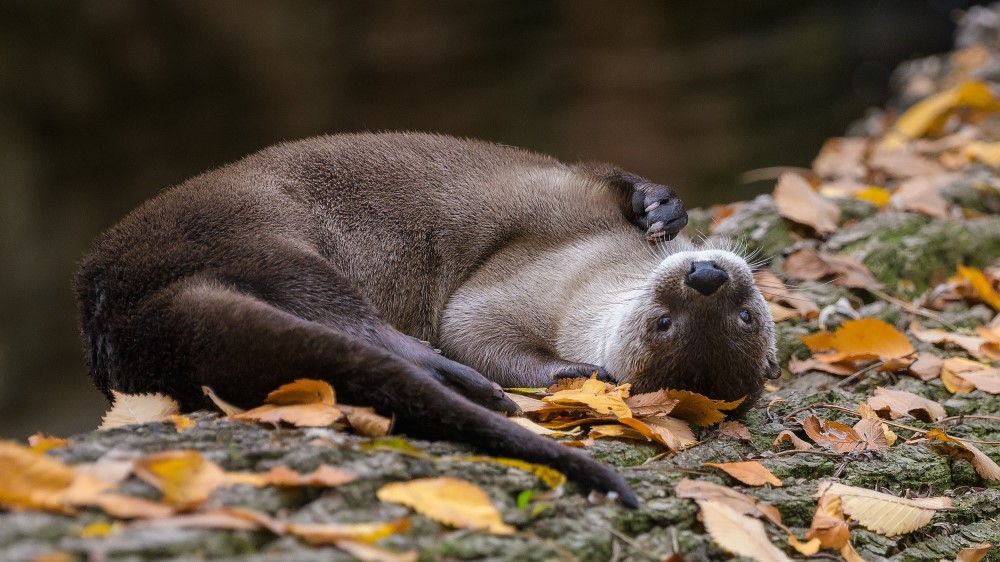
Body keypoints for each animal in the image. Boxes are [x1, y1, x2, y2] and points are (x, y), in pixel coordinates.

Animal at [74, 132, 768, 508]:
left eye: (744, 317)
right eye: (664, 322)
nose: (706, 276)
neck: (591, 260)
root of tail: (111, 305)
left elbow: (470, 323)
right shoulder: (567, 201)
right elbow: (596, 177)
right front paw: (660, 205)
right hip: (248, 223)